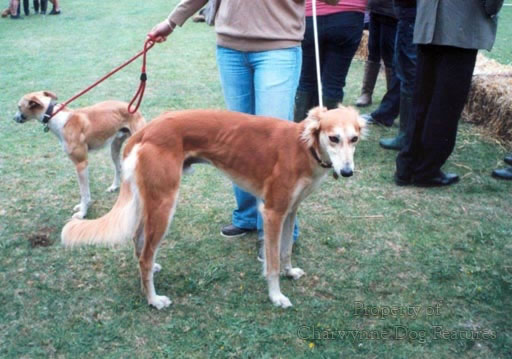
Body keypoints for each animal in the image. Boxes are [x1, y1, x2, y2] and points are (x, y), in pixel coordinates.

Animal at [13, 91, 146, 218]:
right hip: (114, 148)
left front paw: (83, 212)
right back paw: (115, 186)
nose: (14, 118)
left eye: (19, 107)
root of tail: (133, 107)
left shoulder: (81, 164)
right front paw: (82, 208)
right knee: (118, 167)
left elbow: (84, 192)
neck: (55, 117)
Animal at [60, 106, 366, 310]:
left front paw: (290, 272)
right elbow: (272, 262)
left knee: (139, 241)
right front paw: (276, 296)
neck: (304, 147)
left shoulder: (290, 211)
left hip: (151, 201)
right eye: (333, 138)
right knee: (144, 254)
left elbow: (286, 250)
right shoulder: (272, 212)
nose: (347, 172)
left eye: (354, 139)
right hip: (164, 203)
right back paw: (153, 299)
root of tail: (145, 131)